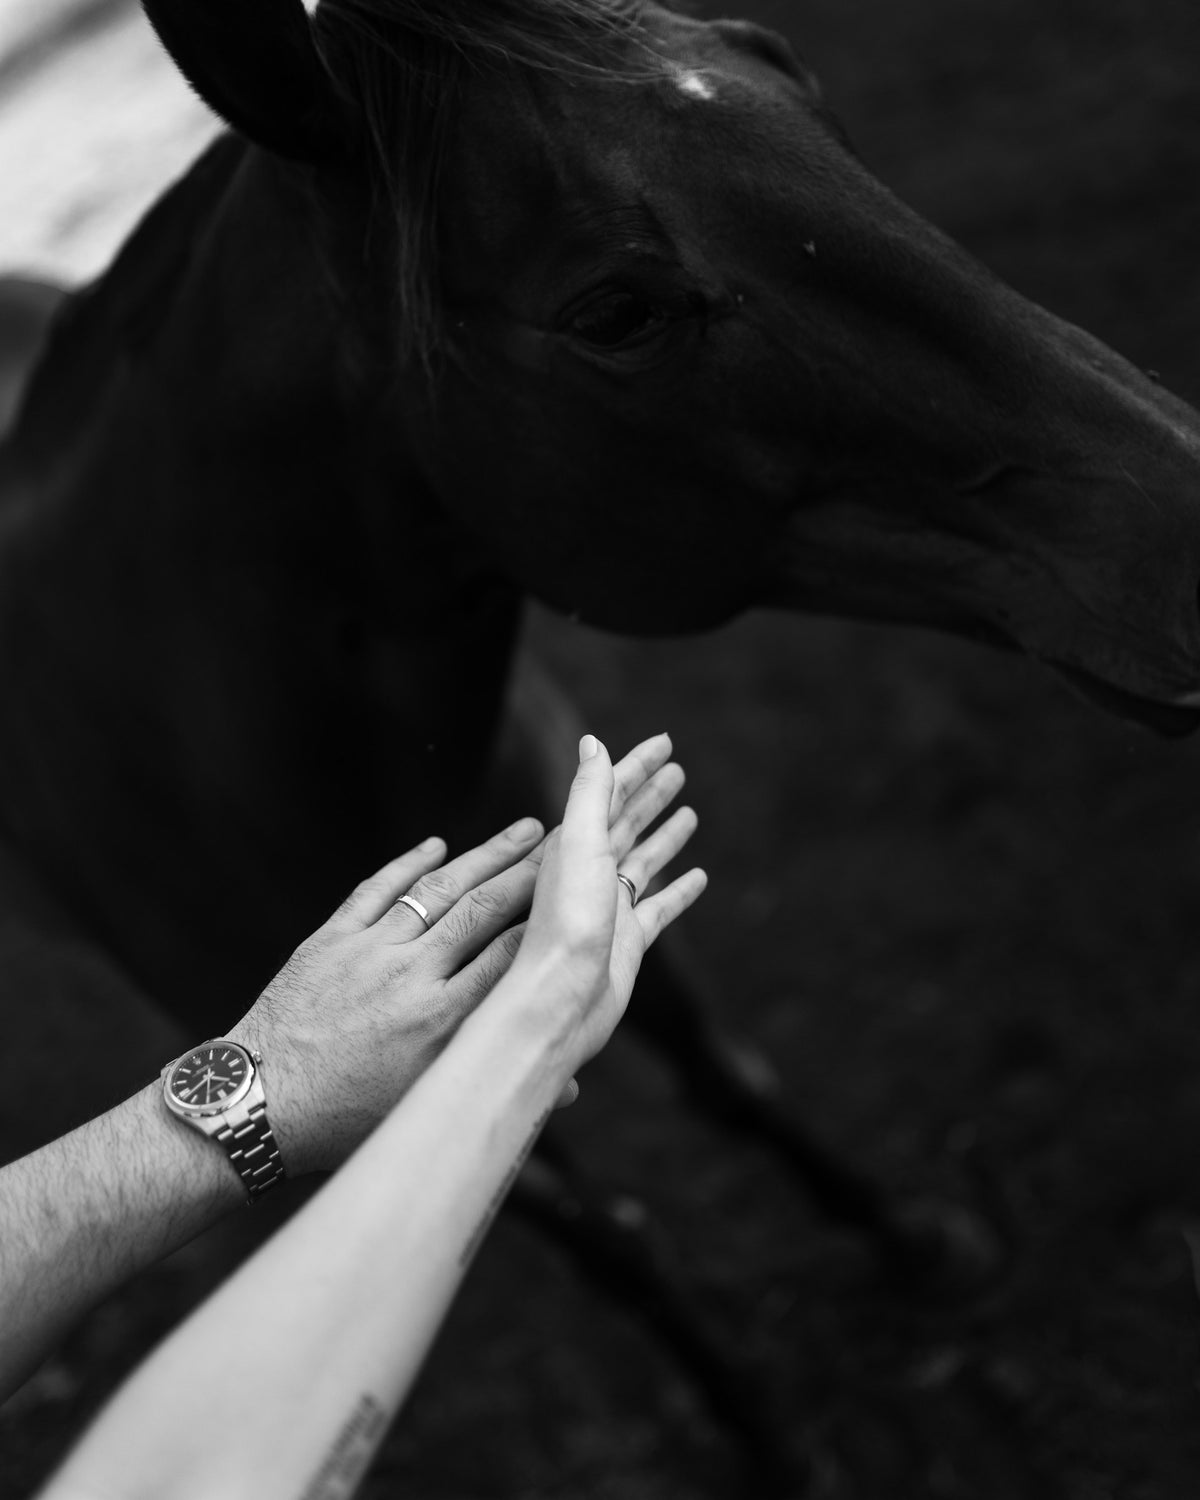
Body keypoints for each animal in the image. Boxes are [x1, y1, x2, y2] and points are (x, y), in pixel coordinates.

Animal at [3, 0, 1200, 1488]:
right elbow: (609, 1241)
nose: (1183, 519)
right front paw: (770, 1445)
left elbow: (726, 1074)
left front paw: (914, 1243)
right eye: (614, 311)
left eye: (806, 97)